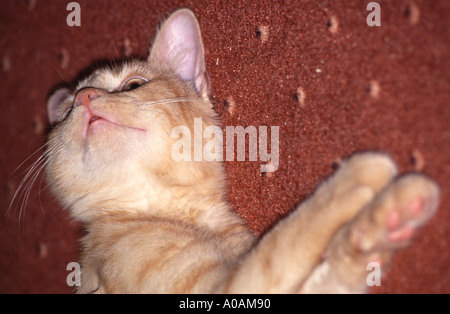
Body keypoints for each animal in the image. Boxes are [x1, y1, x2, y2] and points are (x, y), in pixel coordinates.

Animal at [44, 9, 442, 294]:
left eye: (133, 85)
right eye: (66, 112)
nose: (84, 97)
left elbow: (325, 275)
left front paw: (381, 228)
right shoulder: (221, 287)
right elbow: (281, 243)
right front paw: (352, 184)